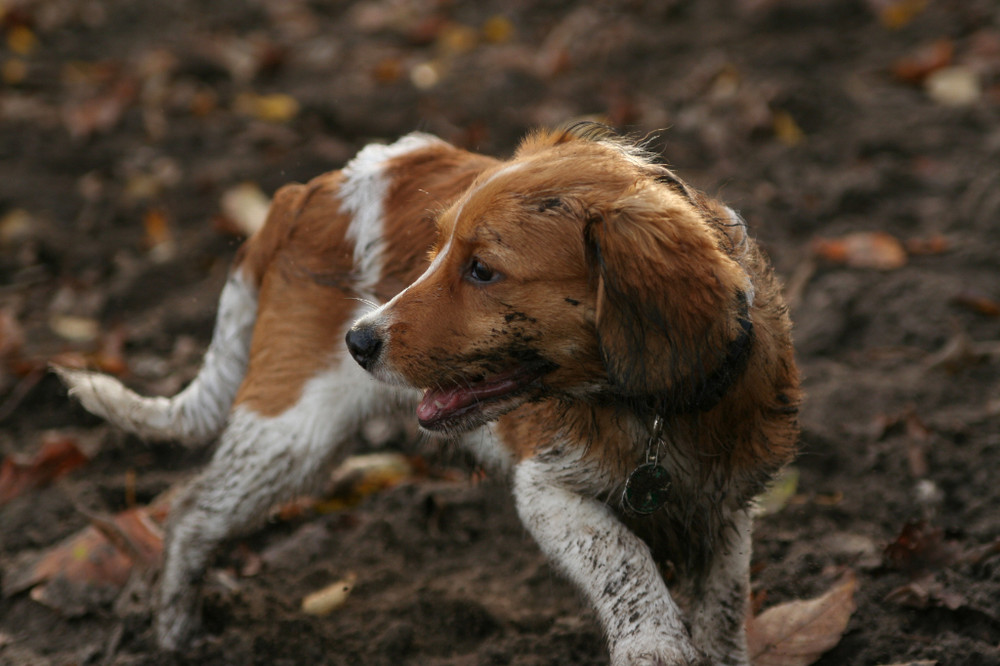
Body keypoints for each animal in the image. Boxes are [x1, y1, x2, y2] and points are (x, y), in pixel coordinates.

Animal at [58, 124, 800, 664]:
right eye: (437, 251)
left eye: (482, 271)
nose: (358, 341)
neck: (652, 413)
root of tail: (305, 192)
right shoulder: (546, 490)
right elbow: (626, 560)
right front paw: (653, 645)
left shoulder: (728, 509)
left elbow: (724, 609)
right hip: (291, 432)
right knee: (190, 512)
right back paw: (177, 634)